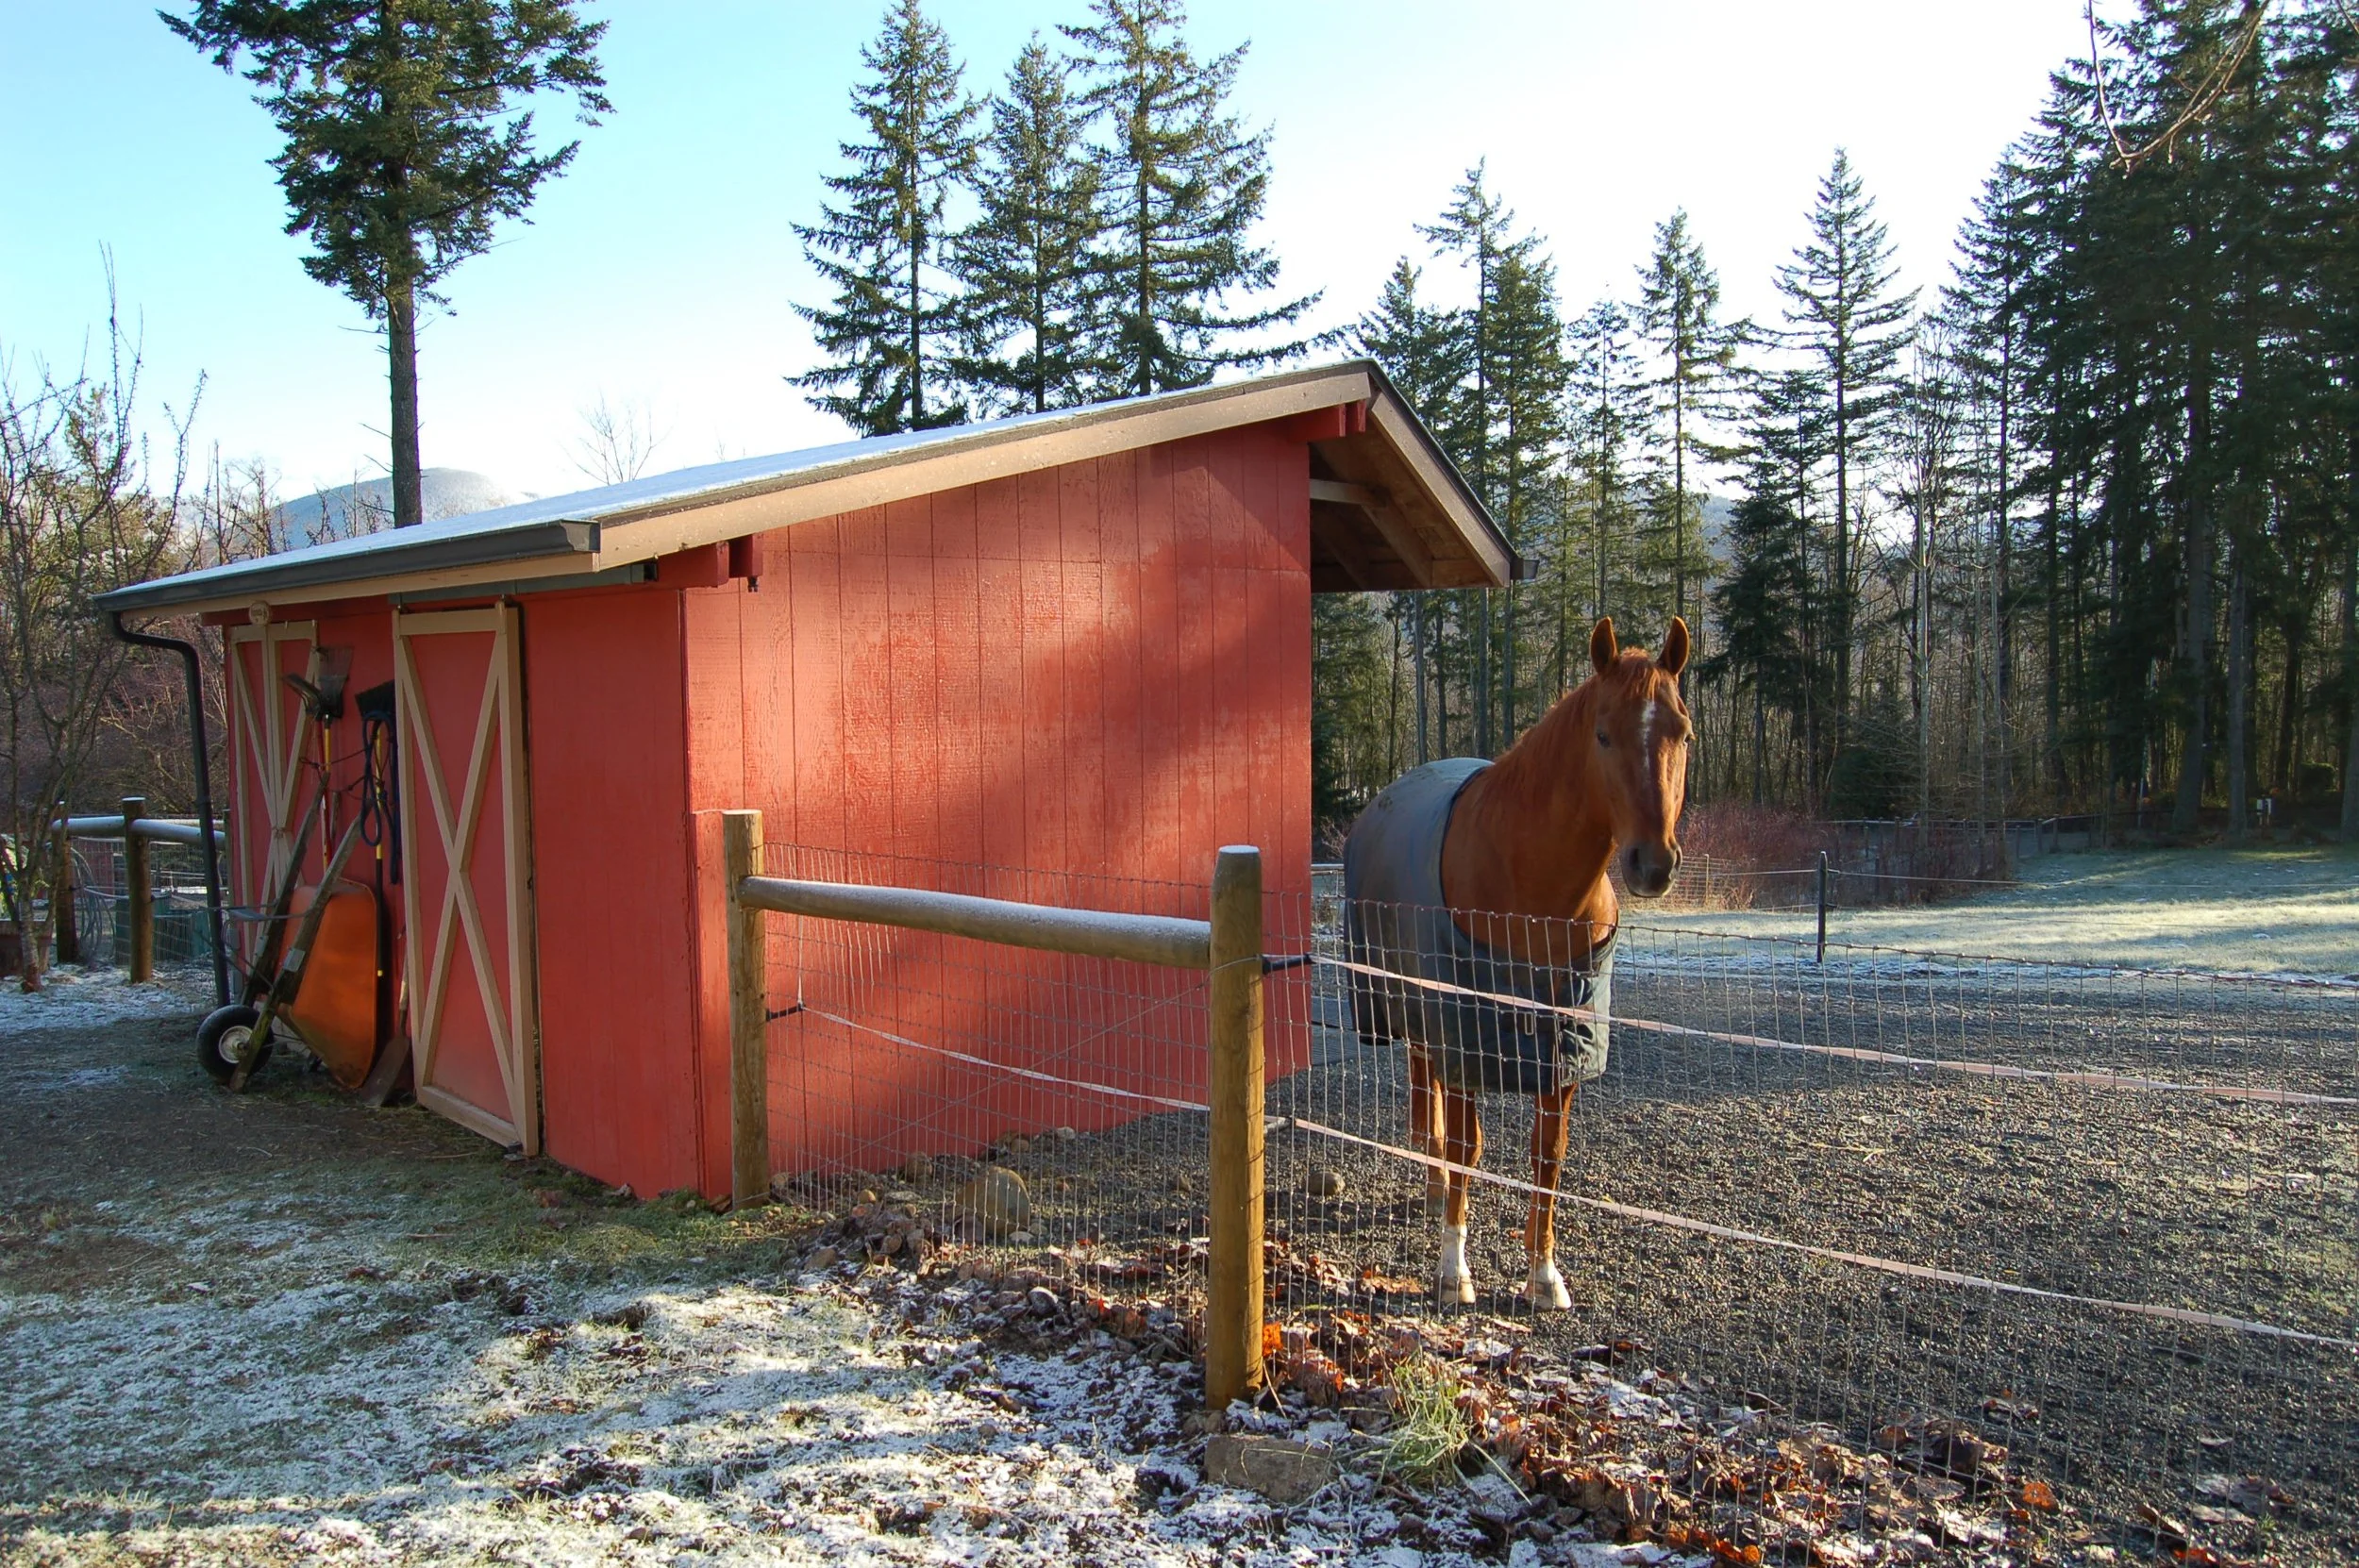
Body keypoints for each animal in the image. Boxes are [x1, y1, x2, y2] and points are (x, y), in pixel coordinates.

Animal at [1343, 615, 1690, 1309]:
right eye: (1603, 734)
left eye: (1684, 733)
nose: (1653, 864)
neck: (1532, 888)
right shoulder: (1466, 1033)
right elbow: (1467, 1146)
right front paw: (1453, 1272)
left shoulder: (1564, 1045)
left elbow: (1546, 1157)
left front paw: (1543, 1274)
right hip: (1413, 1011)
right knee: (1431, 1105)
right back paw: (1435, 1198)